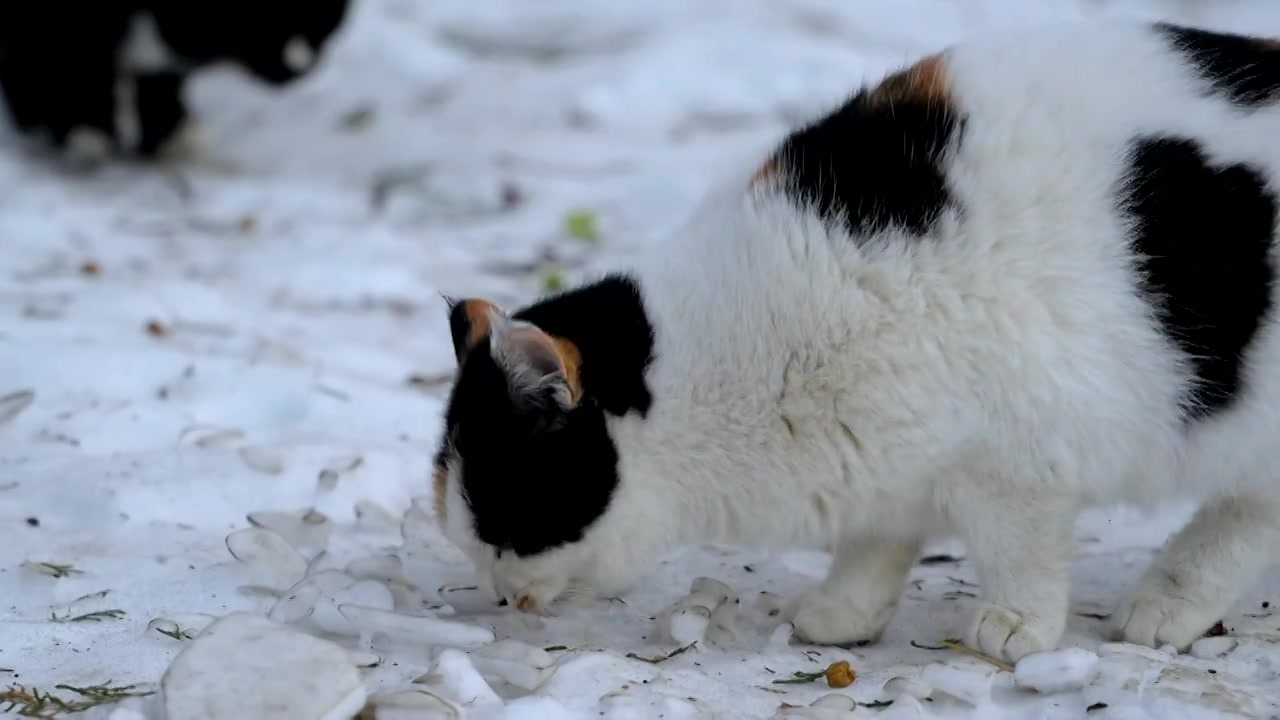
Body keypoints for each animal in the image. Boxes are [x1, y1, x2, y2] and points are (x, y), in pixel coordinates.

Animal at [430, 20, 1280, 661]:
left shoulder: (1016, 464)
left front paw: (1015, 630)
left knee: (1246, 514)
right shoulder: (889, 466)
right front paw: (842, 614)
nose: (501, 596)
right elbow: (876, 542)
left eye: (506, 526)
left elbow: (1020, 552)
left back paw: (1164, 605)